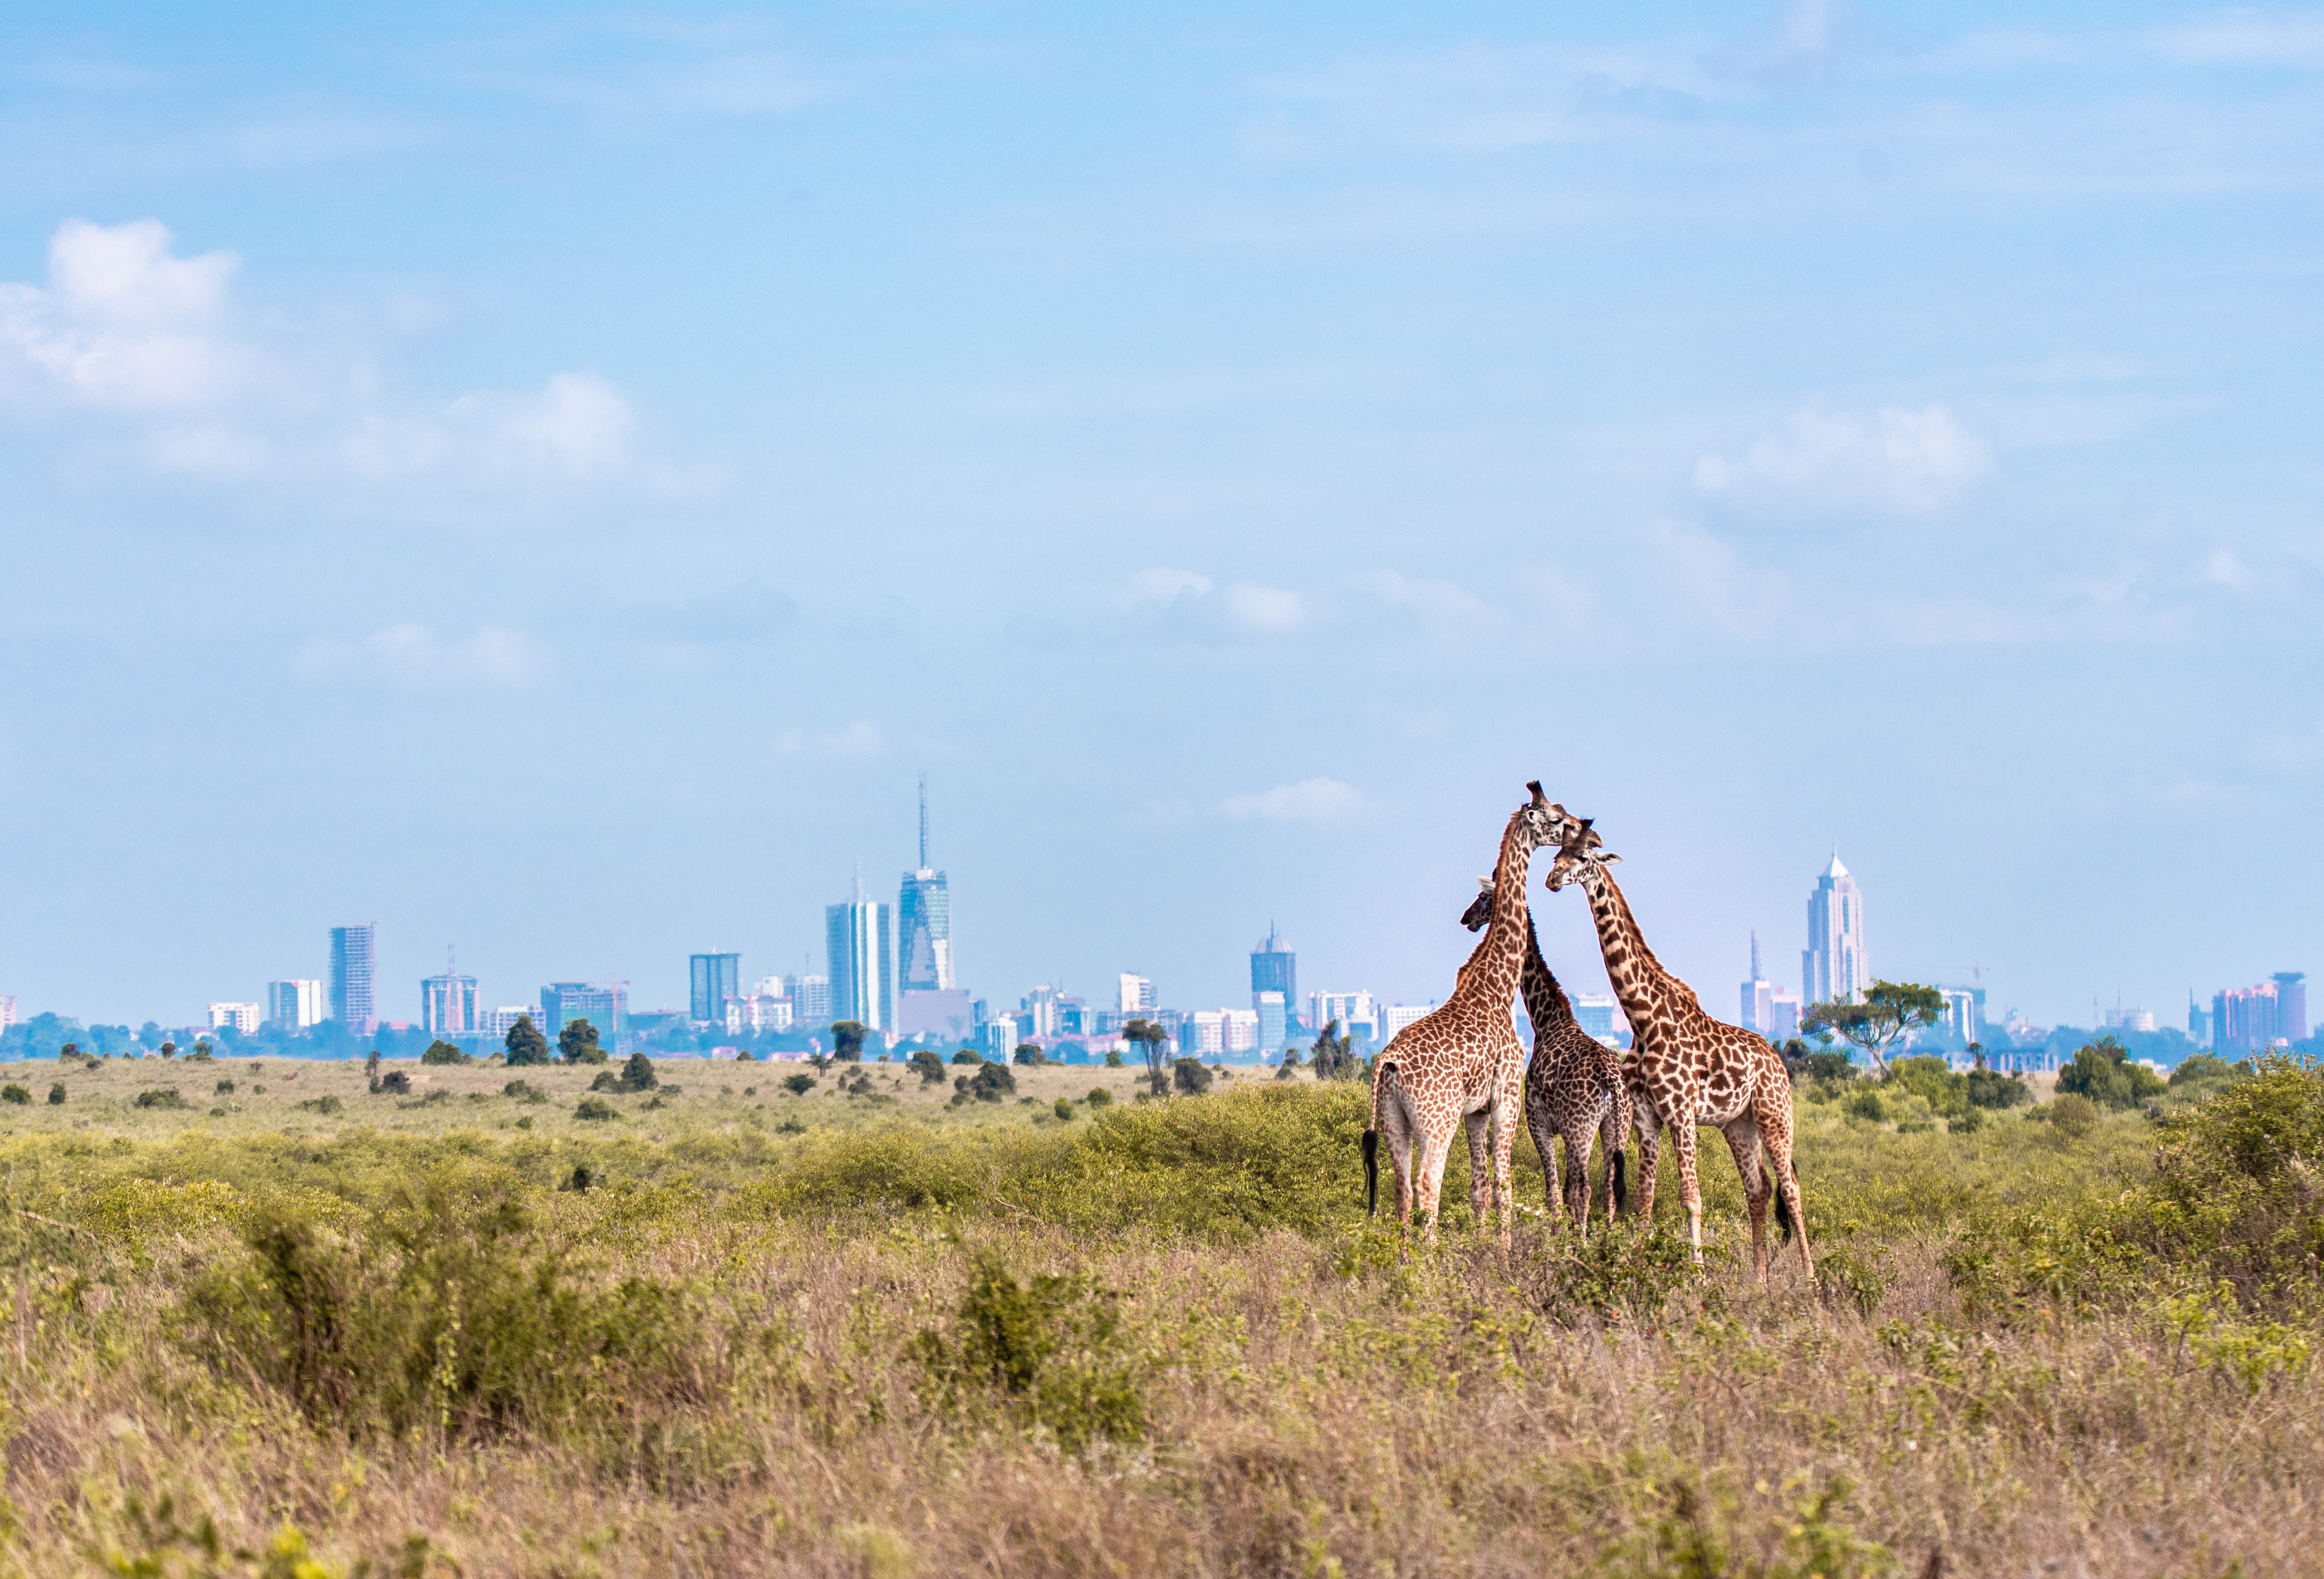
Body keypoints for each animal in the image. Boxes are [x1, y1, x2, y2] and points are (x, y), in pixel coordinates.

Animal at [1357, 785, 1580, 1235]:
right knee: (1428, 1186)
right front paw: (1502, 1250)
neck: (1497, 986)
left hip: (1394, 1121)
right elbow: (1503, 1185)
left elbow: (1479, 1189)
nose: (1582, 827)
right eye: (1554, 818)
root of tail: (1388, 1063)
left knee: (1402, 1191)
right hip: (1436, 1120)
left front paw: (1481, 1247)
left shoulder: (1475, 1110)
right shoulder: (1507, 1096)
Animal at [1450, 878, 1636, 1235]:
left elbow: (1554, 1193)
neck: (1546, 1020)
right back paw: (1608, 1239)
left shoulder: (1539, 1122)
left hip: (1581, 1127)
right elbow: (1562, 1190)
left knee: (1584, 1188)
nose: (1466, 919)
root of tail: (1611, 1082)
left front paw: (1558, 1239)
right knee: (1609, 1187)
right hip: (1618, 1126)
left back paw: (1585, 1241)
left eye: (1481, 897)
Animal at [1543, 826, 1813, 1282]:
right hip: (1738, 1124)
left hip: (1774, 1115)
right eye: (1556, 852)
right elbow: (1644, 1200)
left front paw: (1698, 1276)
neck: (1642, 1018)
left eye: (1582, 856)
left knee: (1791, 1189)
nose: (1552, 880)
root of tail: (1778, 1061)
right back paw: (1758, 1279)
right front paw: (1635, 1268)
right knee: (1758, 1188)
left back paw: (1810, 1278)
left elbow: (1691, 1196)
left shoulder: (1680, 1111)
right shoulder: (1645, 1116)